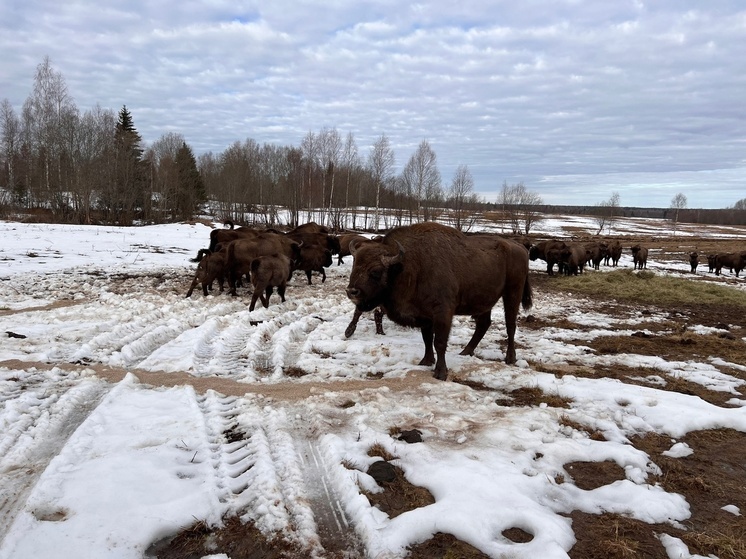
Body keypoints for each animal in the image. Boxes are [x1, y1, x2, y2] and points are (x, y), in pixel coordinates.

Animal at [346, 223, 532, 380]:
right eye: (355, 266)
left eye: (376, 271)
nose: (352, 292)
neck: (407, 266)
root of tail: (520, 248)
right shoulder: (425, 316)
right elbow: (427, 339)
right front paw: (426, 361)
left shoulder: (442, 313)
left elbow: (440, 342)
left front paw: (441, 372)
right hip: (484, 301)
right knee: (483, 324)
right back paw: (466, 352)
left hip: (512, 293)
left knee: (510, 324)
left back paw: (510, 358)